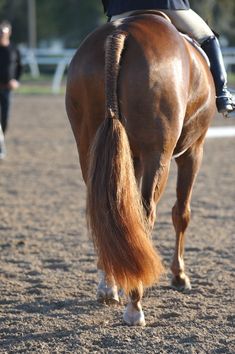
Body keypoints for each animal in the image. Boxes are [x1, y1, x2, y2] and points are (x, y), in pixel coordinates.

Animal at [65, 11, 216, 326]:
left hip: (91, 148)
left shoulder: (129, 159)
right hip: (158, 156)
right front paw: (179, 276)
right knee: (146, 216)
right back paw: (135, 303)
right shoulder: (193, 152)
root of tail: (121, 32)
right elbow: (181, 213)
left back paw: (109, 286)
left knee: (105, 212)